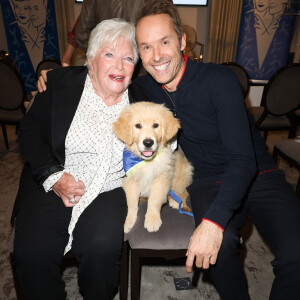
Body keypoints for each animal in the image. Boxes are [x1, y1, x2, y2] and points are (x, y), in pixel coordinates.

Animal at [113, 102, 193, 233]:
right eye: (138, 125)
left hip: (181, 174)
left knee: (183, 191)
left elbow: (154, 201)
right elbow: (132, 203)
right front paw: (129, 221)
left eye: (156, 125)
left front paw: (152, 220)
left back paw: (175, 201)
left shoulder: (161, 179)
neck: (147, 162)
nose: (148, 142)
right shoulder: (130, 180)